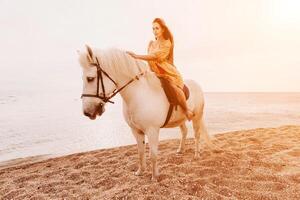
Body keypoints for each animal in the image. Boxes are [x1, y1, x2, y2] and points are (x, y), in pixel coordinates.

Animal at [78, 46, 212, 180]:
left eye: (90, 78)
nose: (87, 112)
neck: (138, 95)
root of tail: (197, 85)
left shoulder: (152, 130)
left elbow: (153, 154)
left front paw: (154, 177)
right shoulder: (136, 131)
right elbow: (140, 152)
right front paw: (140, 171)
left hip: (197, 117)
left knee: (197, 135)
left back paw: (196, 155)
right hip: (180, 120)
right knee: (184, 131)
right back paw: (180, 150)